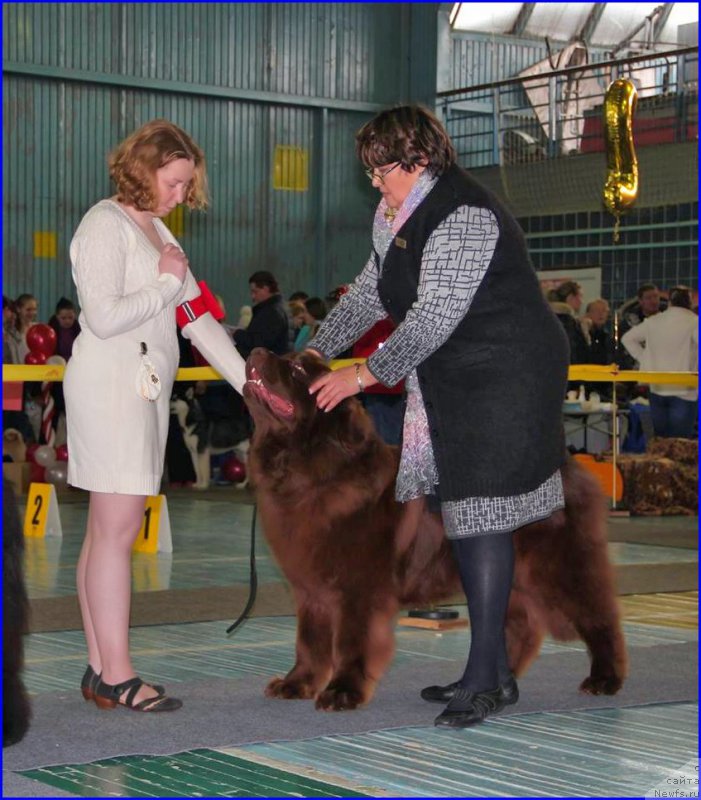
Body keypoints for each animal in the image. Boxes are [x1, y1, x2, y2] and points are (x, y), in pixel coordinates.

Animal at [243, 346, 628, 708]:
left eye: (296, 369)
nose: (257, 351)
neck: (313, 474)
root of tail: (568, 465)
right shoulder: (310, 588)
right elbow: (309, 641)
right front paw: (296, 684)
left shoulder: (358, 590)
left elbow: (351, 641)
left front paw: (342, 692)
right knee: (517, 627)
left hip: (560, 567)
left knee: (599, 617)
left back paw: (604, 679)